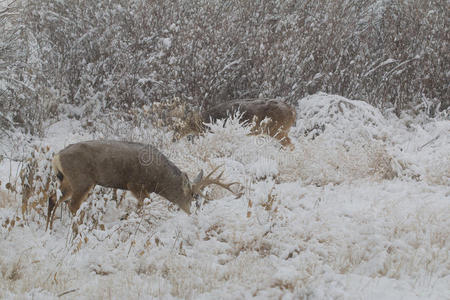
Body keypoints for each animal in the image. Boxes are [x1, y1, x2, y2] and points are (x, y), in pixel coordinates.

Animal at [46, 141, 241, 230]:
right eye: (192, 196)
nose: (190, 214)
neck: (158, 178)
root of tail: (57, 156)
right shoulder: (135, 184)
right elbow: (143, 206)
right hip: (82, 180)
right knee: (72, 205)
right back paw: (77, 228)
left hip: (67, 180)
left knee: (53, 197)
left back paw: (49, 227)